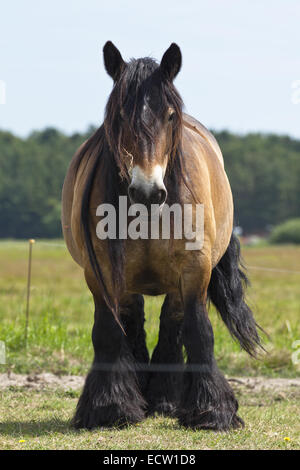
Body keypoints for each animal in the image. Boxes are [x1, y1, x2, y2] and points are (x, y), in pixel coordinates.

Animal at [61, 42, 262, 432]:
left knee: (172, 324)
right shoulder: (101, 272)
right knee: (133, 322)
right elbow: (109, 332)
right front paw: (110, 408)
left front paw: (213, 411)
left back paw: (166, 399)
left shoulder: (195, 270)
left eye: (169, 116)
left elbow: (198, 331)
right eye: (119, 116)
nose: (147, 190)